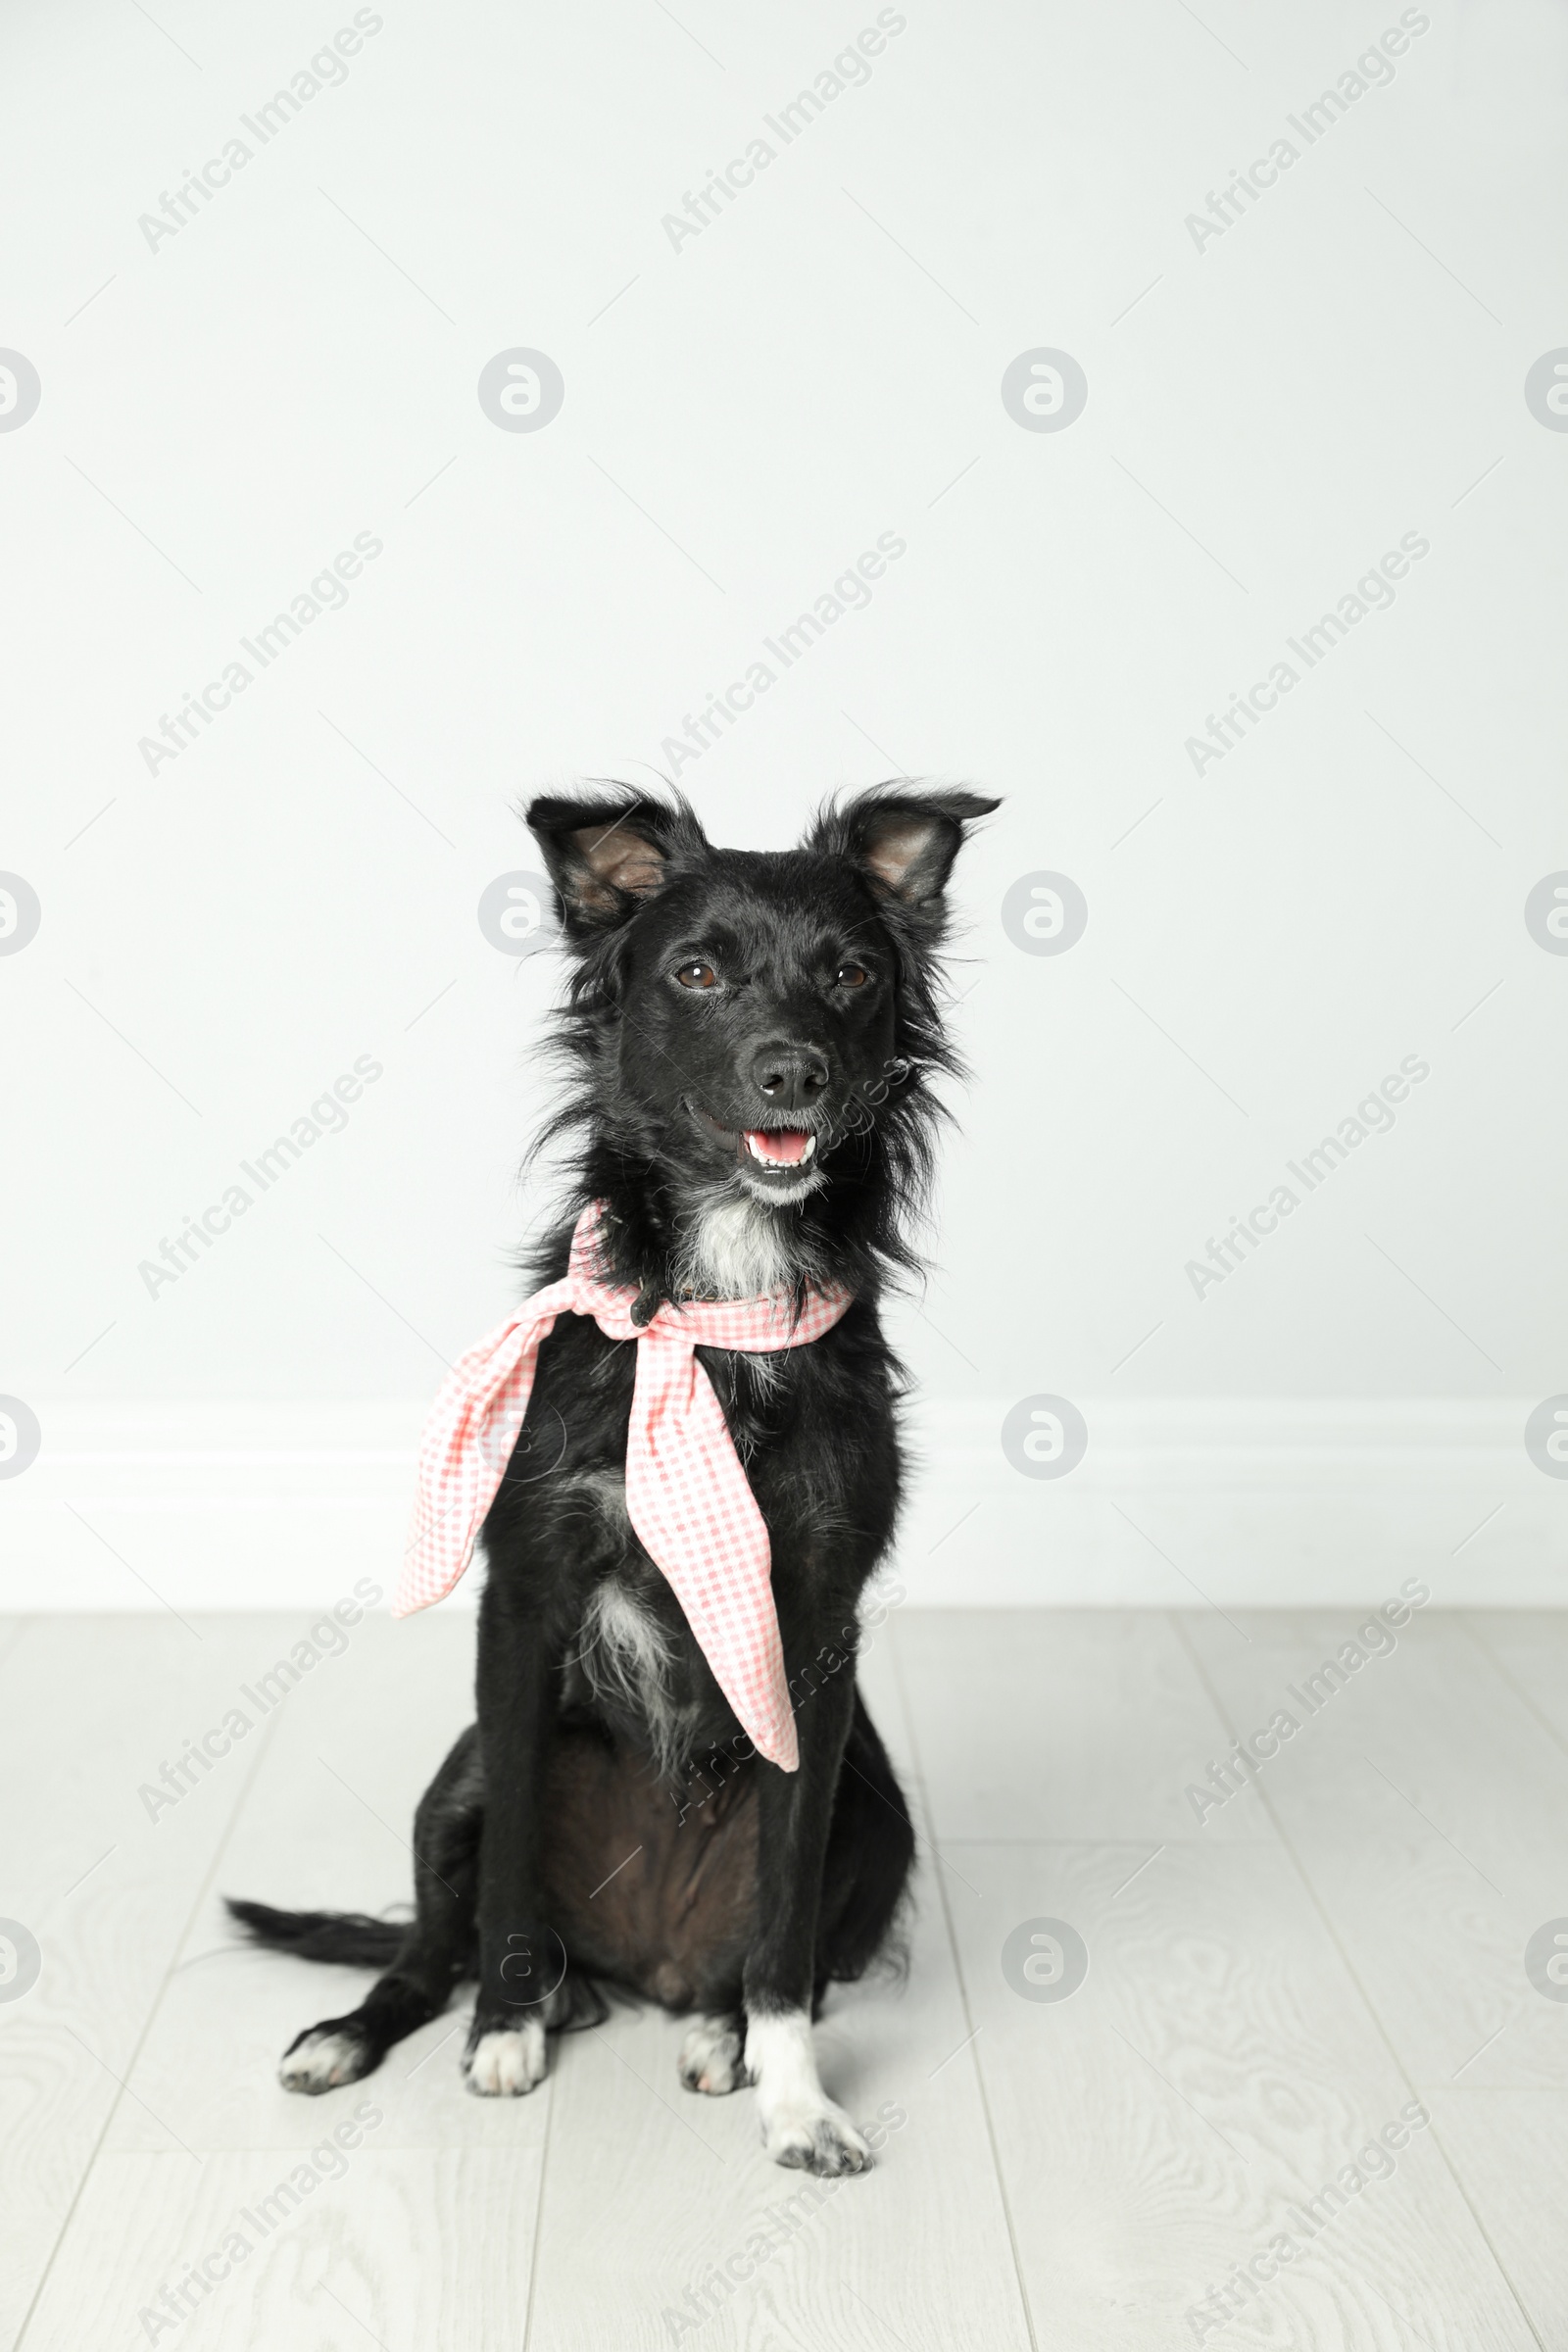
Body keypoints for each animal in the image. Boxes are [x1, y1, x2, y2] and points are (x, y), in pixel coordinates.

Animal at [231, 780, 992, 2173]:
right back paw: (387, 2027)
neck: (715, 1308)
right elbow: (511, 1873)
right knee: (429, 1947)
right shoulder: (523, 1599)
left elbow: (785, 1935)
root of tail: (637, 1966)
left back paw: (713, 2034)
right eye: (695, 971)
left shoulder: (813, 1631)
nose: (792, 1073)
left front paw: (796, 2101)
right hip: (456, 1781)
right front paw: (503, 2033)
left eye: (850, 975)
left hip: (878, 1820)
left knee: (755, 1965)